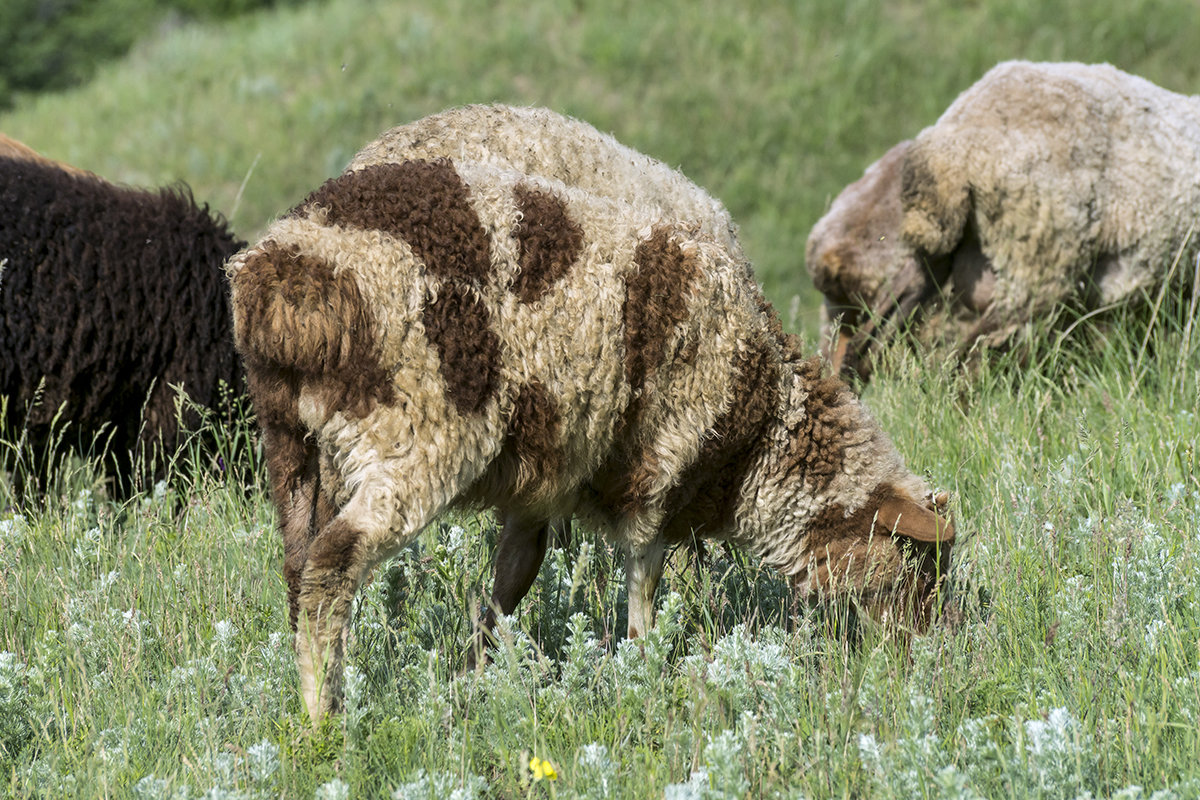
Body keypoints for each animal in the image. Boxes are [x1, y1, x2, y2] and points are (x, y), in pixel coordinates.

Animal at [226, 109, 955, 724]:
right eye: (918, 570)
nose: (926, 659)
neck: (760, 424)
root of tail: (282, 280)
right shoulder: (661, 464)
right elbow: (643, 582)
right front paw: (643, 675)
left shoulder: (547, 473)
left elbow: (514, 575)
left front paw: (474, 672)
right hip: (415, 434)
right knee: (332, 564)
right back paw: (322, 721)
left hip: (294, 443)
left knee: (298, 568)